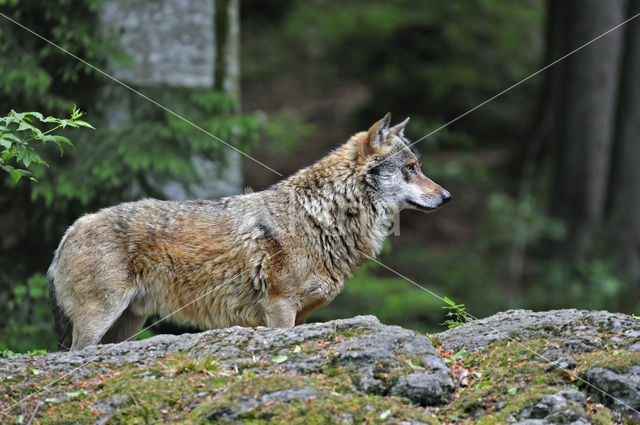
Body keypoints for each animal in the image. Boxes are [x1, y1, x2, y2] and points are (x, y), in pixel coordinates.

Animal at [47, 112, 450, 348]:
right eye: (411, 168)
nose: (447, 196)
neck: (321, 217)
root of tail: (69, 231)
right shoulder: (279, 307)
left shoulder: (302, 314)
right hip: (99, 320)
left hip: (127, 324)